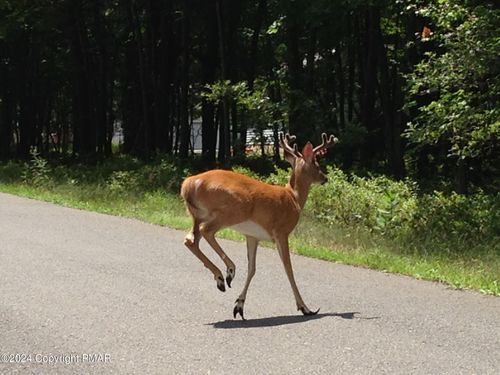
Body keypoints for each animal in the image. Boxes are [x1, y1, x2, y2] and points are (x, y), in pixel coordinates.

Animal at [178, 132, 338, 320]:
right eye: (316, 163)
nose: (325, 178)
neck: (293, 198)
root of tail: (189, 184)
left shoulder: (253, 236)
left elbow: (252, 268)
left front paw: (239, 306)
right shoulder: (281, 231)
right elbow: (288, 268)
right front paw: (305, 308)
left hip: (198, 215)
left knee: (190, 240)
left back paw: (220, 278)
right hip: (232, 210)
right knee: (206, 231)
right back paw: (229, 270)